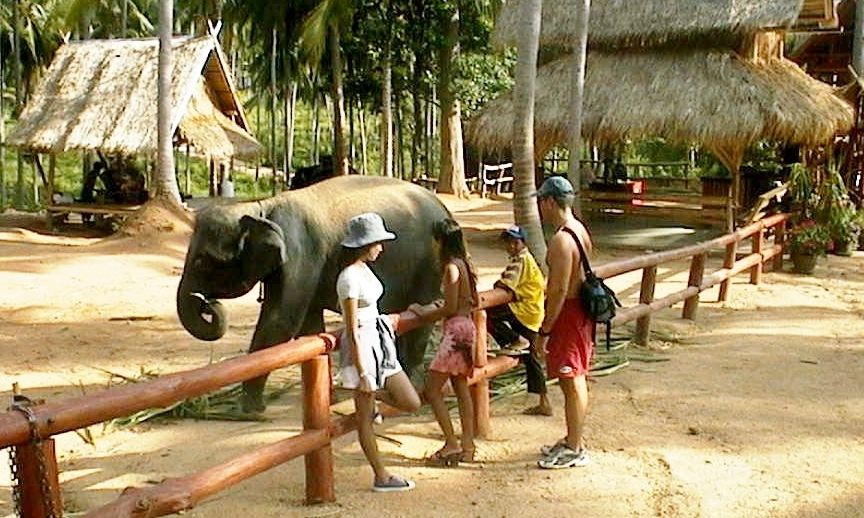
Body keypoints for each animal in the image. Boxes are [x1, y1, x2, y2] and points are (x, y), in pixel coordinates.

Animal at [175, 177, 446, 412]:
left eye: (202, 262)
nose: (207, 303)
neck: (260, 208)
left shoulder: (300, 253)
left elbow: (281, 321)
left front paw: (247, 410)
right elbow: (309, 327)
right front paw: (328, 400)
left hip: (430, 263)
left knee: (422, 315)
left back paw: (413, 383)